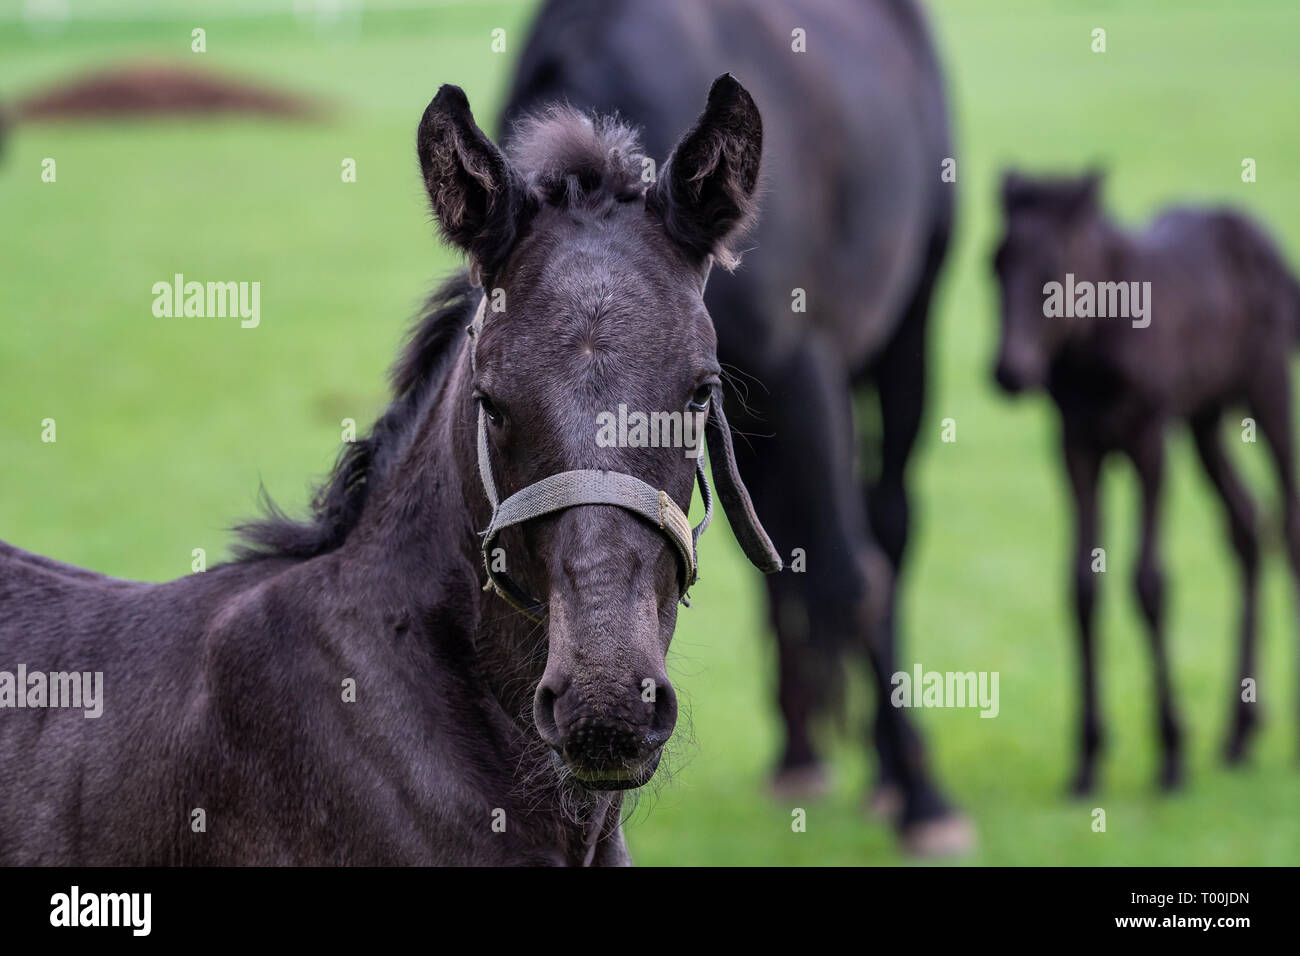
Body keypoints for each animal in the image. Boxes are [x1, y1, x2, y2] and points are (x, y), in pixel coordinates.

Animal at [993, 170, 1300, 790]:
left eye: (1055, 266)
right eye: (995, 264)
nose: (1009, 372)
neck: (1096, 340)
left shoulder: (1149, 439)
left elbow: (1148, 583)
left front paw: (1172, 754)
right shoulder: (1076, 447)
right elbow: (1081, 588)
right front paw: (1087, 759)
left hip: (1267, 386)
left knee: (1290, 525)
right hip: (1205, 419)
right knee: (1247, 528)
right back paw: (1238, 734)